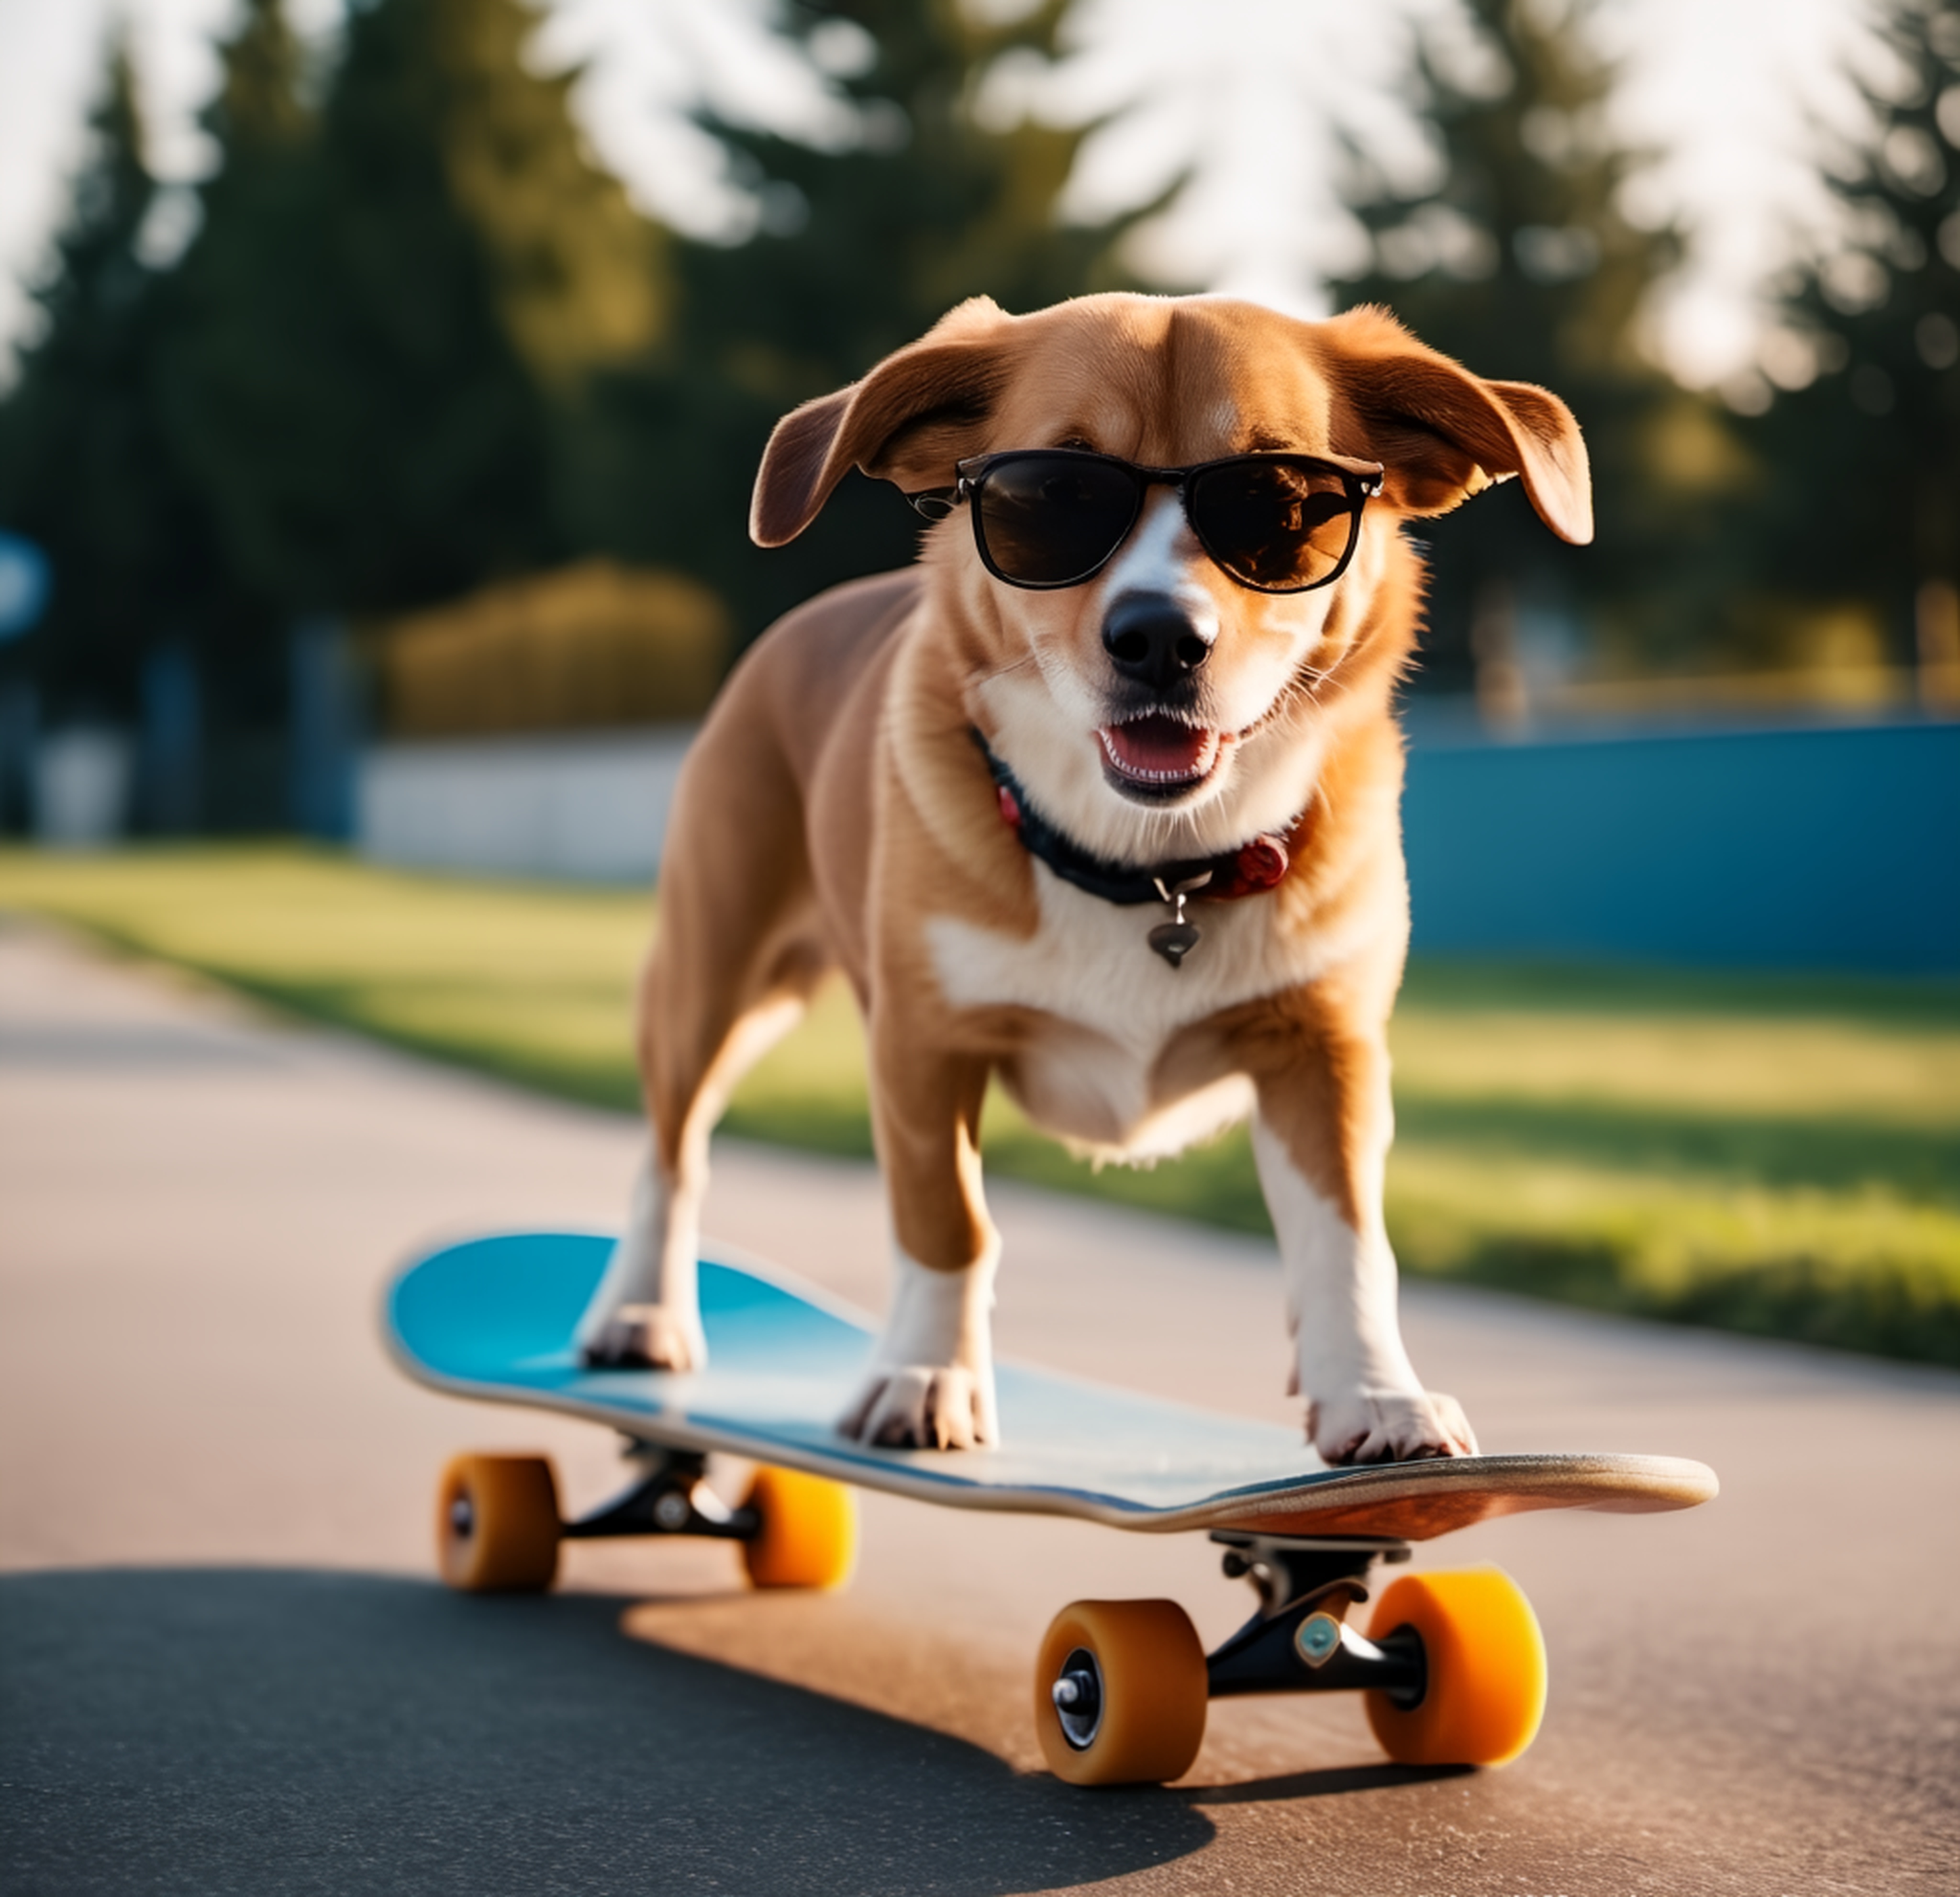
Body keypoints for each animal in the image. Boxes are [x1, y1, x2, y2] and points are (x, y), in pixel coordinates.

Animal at [572, 288, 1591, 1458]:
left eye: (1284, 503)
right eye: (1053, 495)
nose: (1159, 636)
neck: (1153, 868)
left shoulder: (1323, 1050)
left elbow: (1347, 1243)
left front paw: (1375, 1392)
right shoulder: (924, 1047)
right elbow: (946, 1222)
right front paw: (926, 1375)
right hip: (719, 976)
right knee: (672, 1147)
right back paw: (639, 1309)